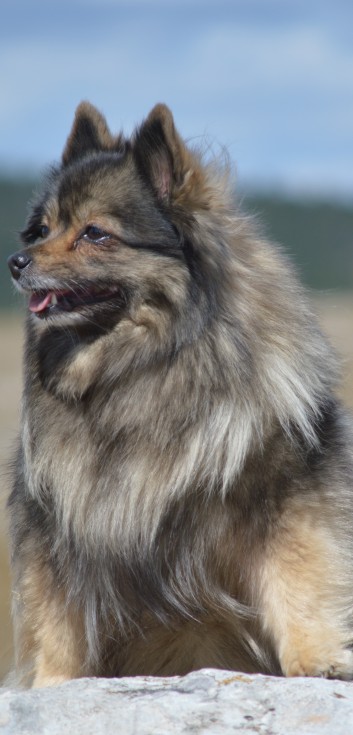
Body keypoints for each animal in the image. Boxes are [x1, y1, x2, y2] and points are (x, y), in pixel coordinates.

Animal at [6, 100, 352, 688]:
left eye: (95, 233)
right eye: (43, 229)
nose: (17, 260)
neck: (141, 367)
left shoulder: (287, 499)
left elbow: (300, 577)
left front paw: (318, 660)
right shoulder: (56, 522)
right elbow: (58, 619)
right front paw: (52, 684)